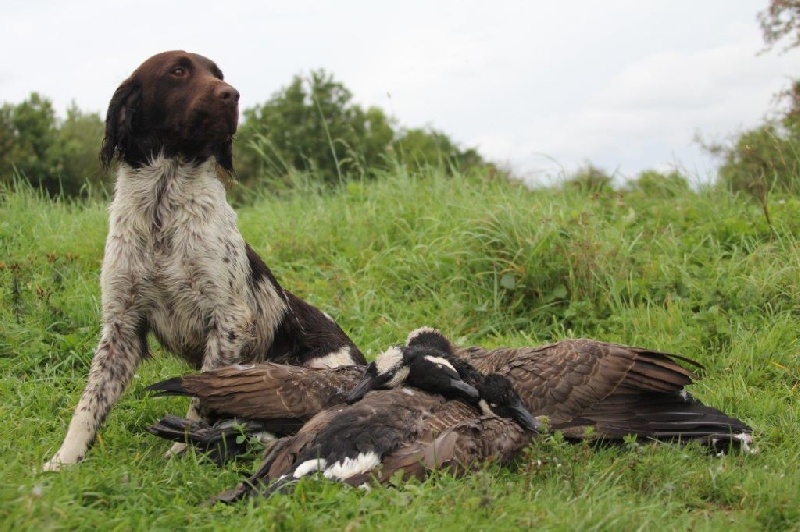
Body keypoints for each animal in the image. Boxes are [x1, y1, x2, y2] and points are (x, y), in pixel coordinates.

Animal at [45, 51, 364, 470]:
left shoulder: (228, 319)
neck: (163, 208)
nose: (232, 94)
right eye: (178, 71)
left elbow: (202, 396)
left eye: (218, 74)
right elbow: (89, 402)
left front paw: (184, 449)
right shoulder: (122, 325)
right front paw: (64, 460)